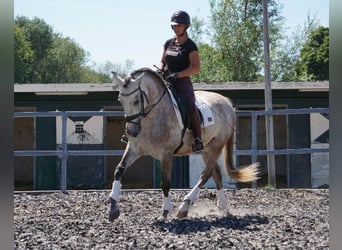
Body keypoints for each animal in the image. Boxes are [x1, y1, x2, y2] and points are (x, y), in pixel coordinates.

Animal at [108, 68, 258, 221]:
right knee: (215, 172)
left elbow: (165, 182)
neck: (152, 116)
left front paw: (165, 212)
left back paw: (185, 206)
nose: (131, 131)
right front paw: (113, 207)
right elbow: (119, 170)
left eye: (137, 100)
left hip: (217, 145)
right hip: (207, 148)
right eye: (120, 100)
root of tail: (226, 102)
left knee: (206, 173)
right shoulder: (134, 149)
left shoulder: (166, 154)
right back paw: (223, 208)